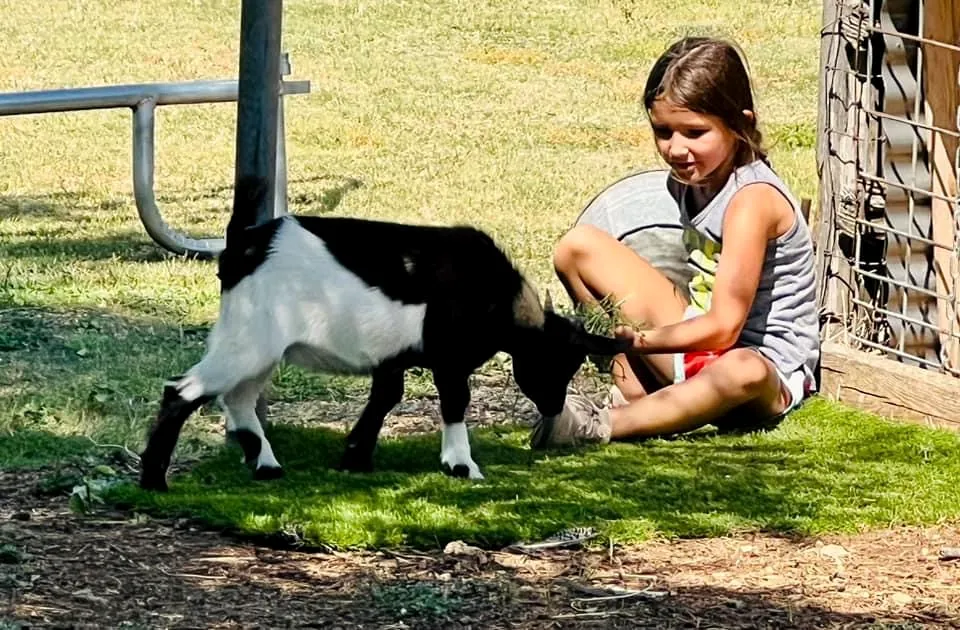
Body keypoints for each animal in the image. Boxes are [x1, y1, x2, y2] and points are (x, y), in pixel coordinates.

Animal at [139, 176, 630, 491]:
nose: (553, 407)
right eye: (553, 363)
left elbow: (386, 397)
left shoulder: (391, 357)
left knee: (237, 399)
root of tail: (245, 245)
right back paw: (154, 479)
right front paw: (461, 465)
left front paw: (355, 458)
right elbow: (455, 403)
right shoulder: (448, 358)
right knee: (184, 391)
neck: (495, 296)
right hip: (248, 340)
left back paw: (266, 465)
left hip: (258, 348)